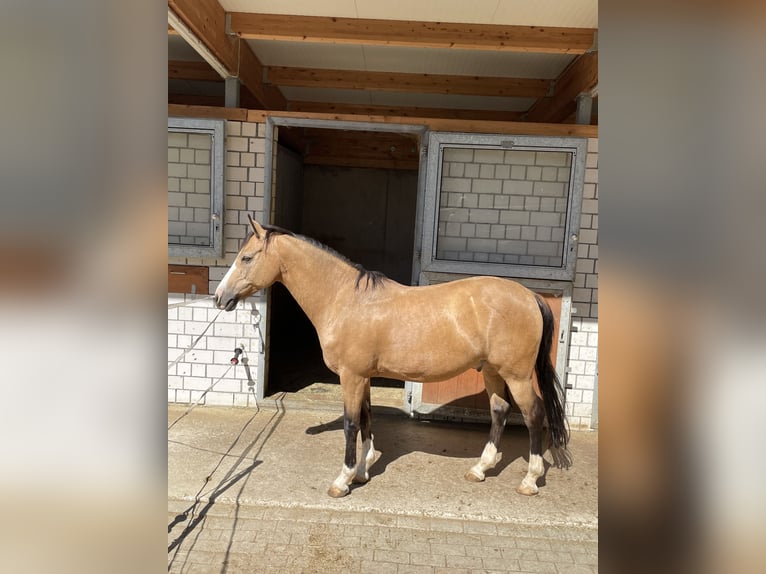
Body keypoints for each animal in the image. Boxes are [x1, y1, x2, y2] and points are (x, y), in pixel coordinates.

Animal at [215, 217, 569, 498]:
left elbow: (351, 423)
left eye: (246, 257)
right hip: (493, 371)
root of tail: (530, 296)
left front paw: (343, 480)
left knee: (534, 414)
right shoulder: (363, 376)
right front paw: (362, 470)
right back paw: (480, 469)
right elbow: (367, 418)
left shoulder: (351, 376)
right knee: (499, 410)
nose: (220, 297)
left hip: (516, 375)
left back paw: (530, 480)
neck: (346, 299)